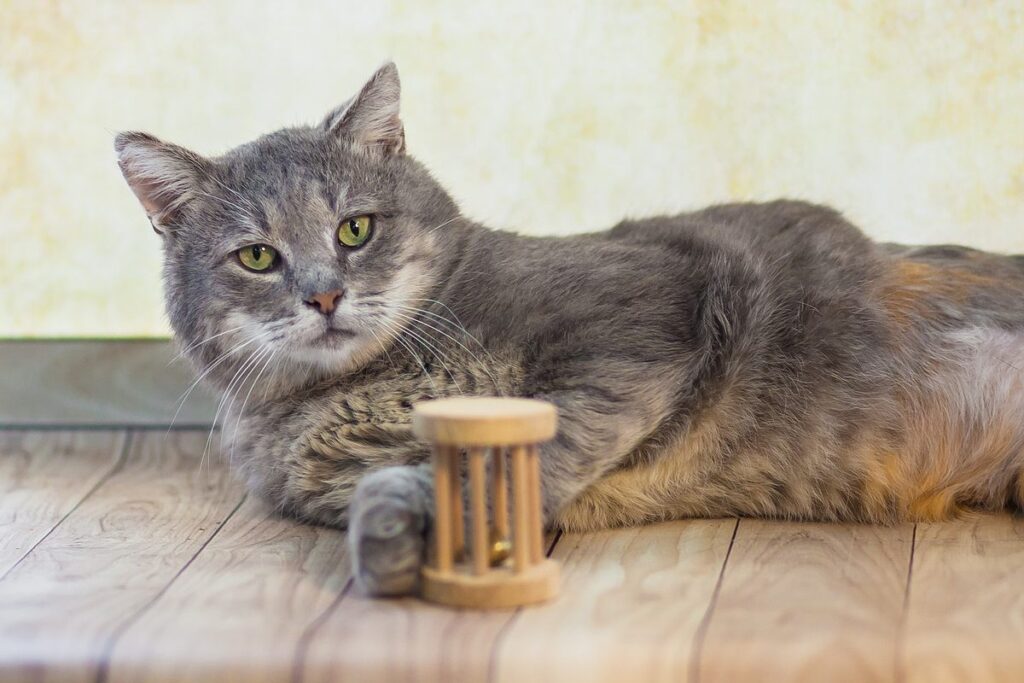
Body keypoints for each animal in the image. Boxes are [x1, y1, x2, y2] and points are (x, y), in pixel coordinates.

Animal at [112, 65, 1024, 598]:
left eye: (355, 230)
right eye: (258, 256)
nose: (324, 295)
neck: (363, 384)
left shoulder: (636, 321)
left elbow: (560, 434)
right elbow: (404, 482)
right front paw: (393, 542)